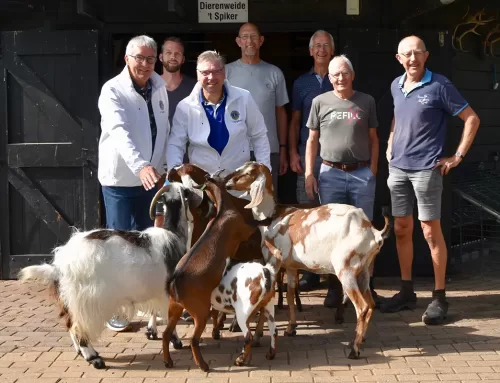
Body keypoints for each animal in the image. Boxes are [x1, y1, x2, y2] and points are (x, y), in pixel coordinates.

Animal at [161, 174, 274, 372]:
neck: (223, 211)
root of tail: (175, 281)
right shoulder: (244, 228)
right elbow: (255, 224)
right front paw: (268, 219)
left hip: (175, 307)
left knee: (166, 334)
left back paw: (168, 361)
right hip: (200, 312)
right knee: (194, 340)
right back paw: (204, 365)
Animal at [225, 162, 392, 360]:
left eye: (249, 172)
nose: (227, 184)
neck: (274, 217)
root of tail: (373, 232)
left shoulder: (273, 263)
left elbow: (266, 301)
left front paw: (258, 336)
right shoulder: (290, 268)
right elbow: (290, 295)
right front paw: (291, 328)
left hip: (346, 271)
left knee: (362, 307)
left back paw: (354, 349)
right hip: (363, 272)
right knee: (371, 305)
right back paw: (361, 339)